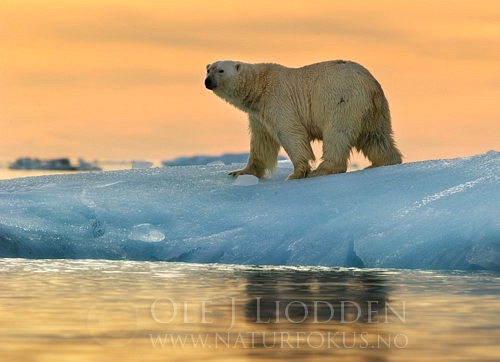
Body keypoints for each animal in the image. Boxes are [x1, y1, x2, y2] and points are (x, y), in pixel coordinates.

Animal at [203, 60, 402, 180]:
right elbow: (261, 143)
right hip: (376, 112)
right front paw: (239, 172)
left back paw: (321, 170)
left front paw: (296, 173)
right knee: (377, 138)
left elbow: (291, 132)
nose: (207, 81)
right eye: (208, 69)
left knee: (337, 135)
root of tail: (372, 87)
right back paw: (383, 162)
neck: (259, 87)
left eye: (221, 70)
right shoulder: (258, 114)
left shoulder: (277, 100)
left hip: (341, 102)